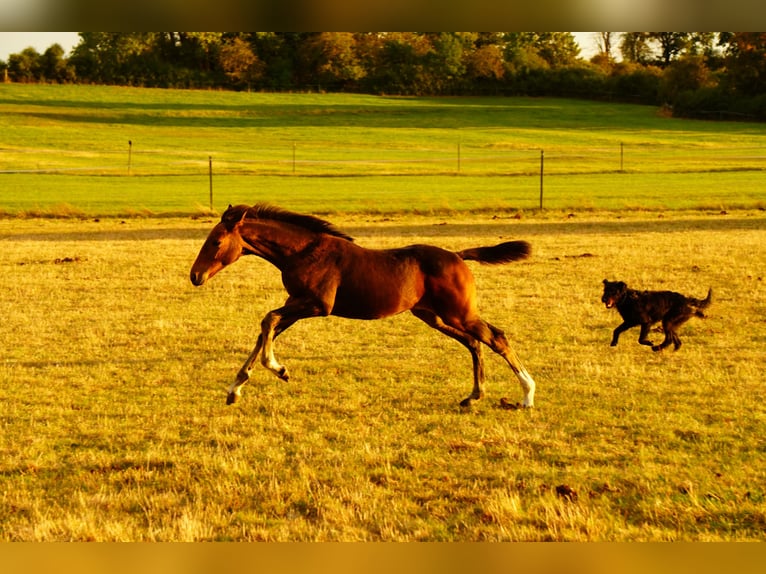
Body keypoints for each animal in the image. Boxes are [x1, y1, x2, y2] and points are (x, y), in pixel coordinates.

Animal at [190, 203, 536, 409]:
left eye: (216, 242)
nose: (195, 276)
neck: (304, 251)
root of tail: (458, 256)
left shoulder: (316, 304)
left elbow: (268, 320)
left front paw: (278, 370)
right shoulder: (296, 302)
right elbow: (266, 329)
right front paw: (235, 388)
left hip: (459, 313)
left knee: (496, 337)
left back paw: (527, 394)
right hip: (435, 316)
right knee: (474, 343)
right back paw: (474, 396)